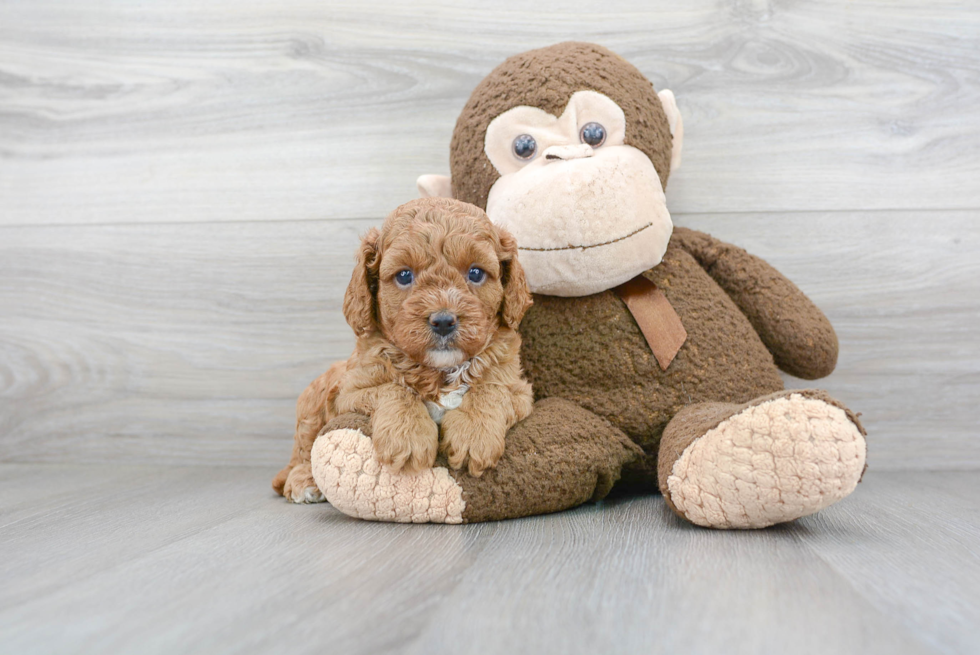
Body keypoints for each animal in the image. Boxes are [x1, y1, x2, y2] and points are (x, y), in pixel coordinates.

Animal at [274, 197, 536, 504]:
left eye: (475, 273)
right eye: (403, 275)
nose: (443, 321)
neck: (439, 371)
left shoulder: (518, 389)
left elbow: (490, 390)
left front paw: (473, 435)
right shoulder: (349, 391)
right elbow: (393, 388)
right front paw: (408, 437)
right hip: (313, 402)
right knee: (302, 450)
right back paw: (303, 481)